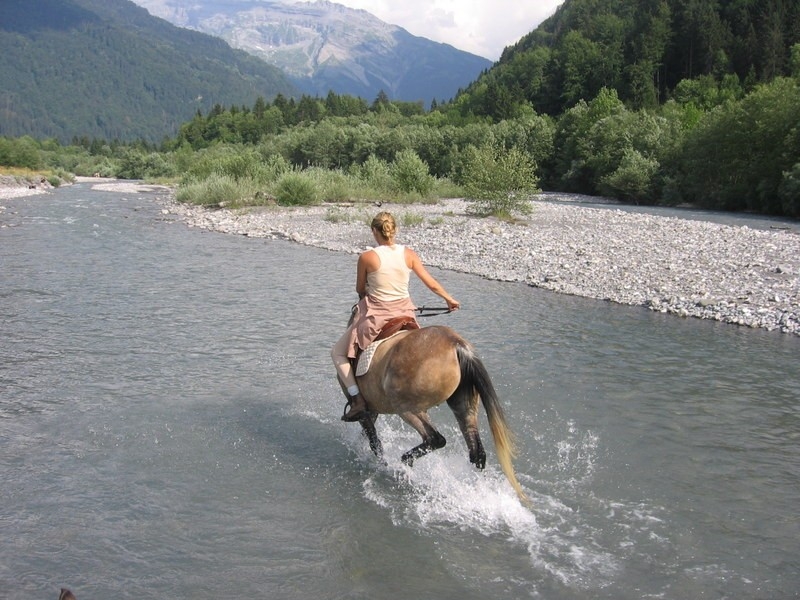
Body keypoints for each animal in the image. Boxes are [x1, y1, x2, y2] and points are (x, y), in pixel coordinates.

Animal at [340, 318, 528, 502]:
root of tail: (458, 345)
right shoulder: (371, 410)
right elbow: (369, 435)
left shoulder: (364, 410)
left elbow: (373, 440)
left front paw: (379, 462)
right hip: (462, 406)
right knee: (476, 452)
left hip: (406, 407)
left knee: (435, 438)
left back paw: (405, 462)